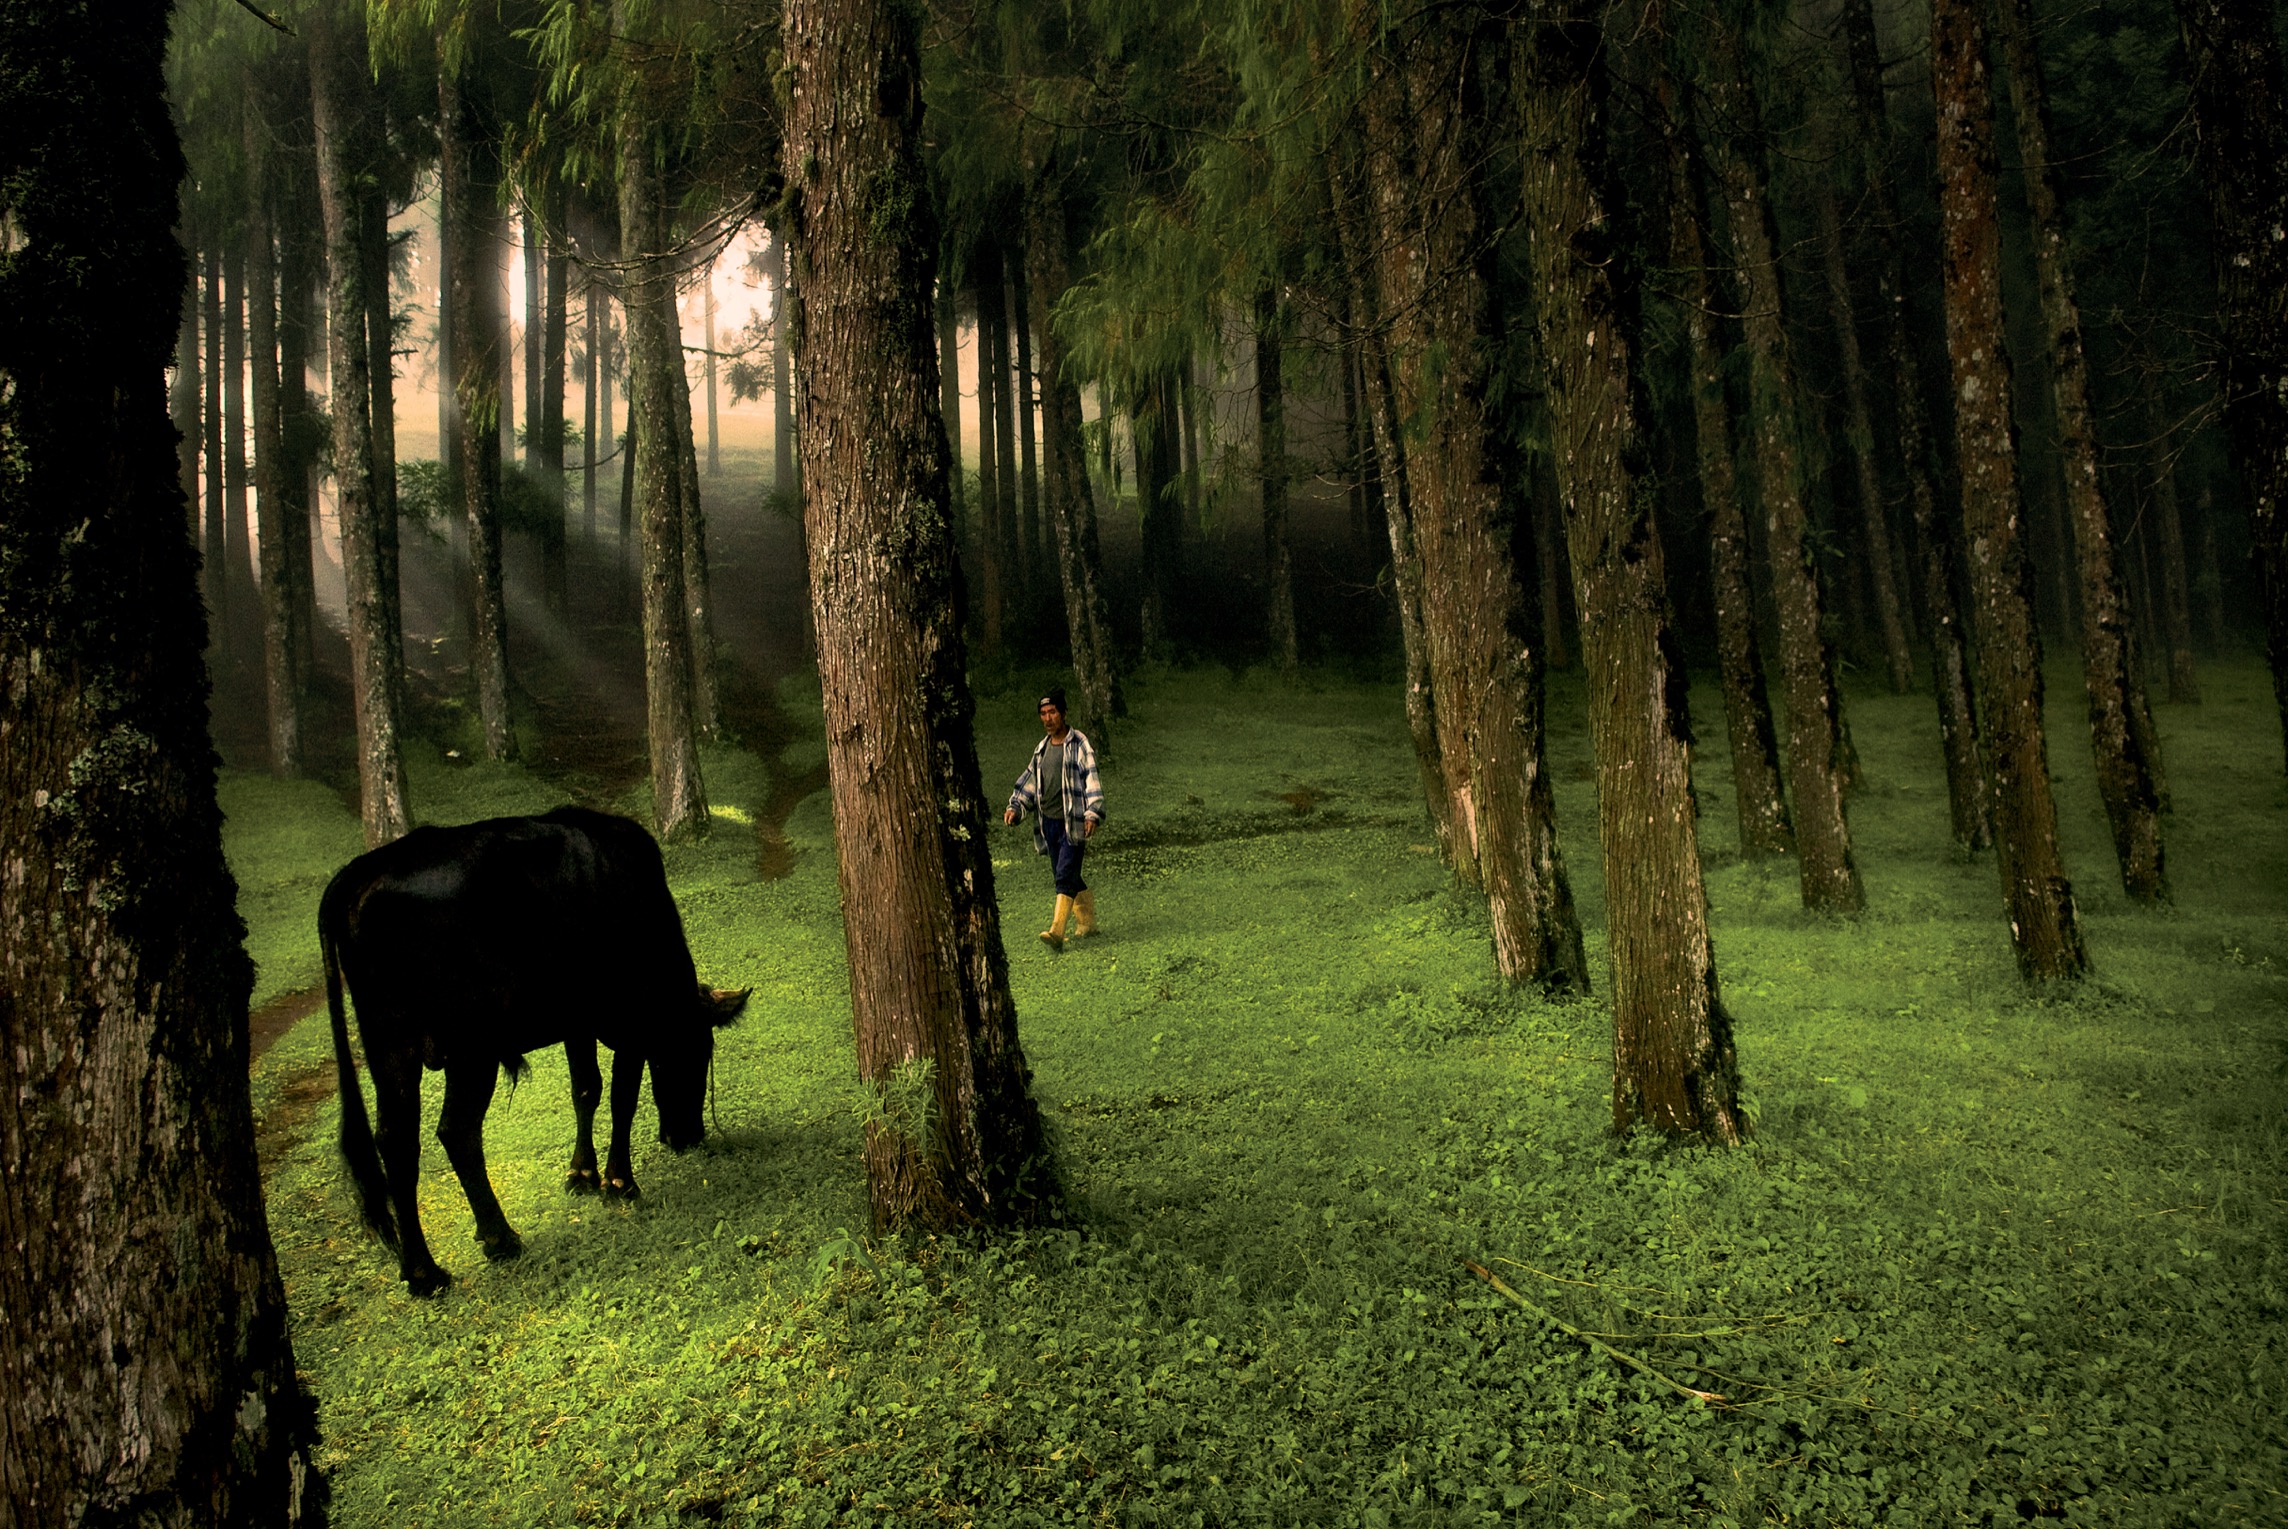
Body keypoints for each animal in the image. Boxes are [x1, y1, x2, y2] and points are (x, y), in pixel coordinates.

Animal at [320, 805, 750, 1300]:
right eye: (698, 1052)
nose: (689, 1137)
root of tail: (362, 871)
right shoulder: (630, 1016)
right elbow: (622, 1098)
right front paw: (619, 1181)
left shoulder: (577, 1019)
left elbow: (586, 1090)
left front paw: (582, 1174)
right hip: (471, 1048)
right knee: (457, 1131)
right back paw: (498, 1238)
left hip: (390, 1046)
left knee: (397, 1143)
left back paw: (423, 1272)